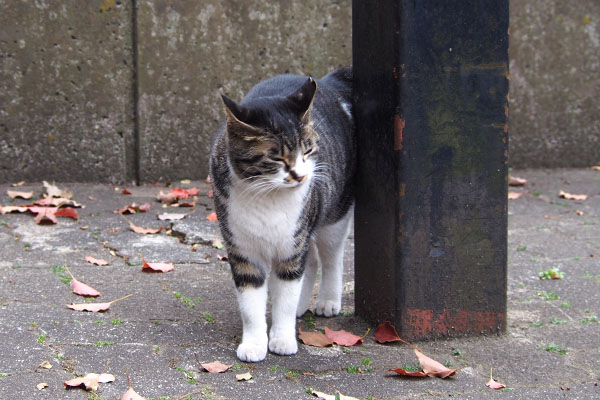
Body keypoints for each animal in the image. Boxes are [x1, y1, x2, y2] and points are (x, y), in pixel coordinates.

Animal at [209, 66, 354, 362]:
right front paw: (254, 344)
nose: (300, 175)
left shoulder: (292, 246)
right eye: (276, 158)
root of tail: (329, 82)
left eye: (307, 150)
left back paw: (328, 301)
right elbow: (250, 304)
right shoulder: (243, 250)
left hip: (333, 213)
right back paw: (303, 304)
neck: (267, 196)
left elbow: (285, 297)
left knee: (331, 256)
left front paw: (283, 339)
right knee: (311, 262)